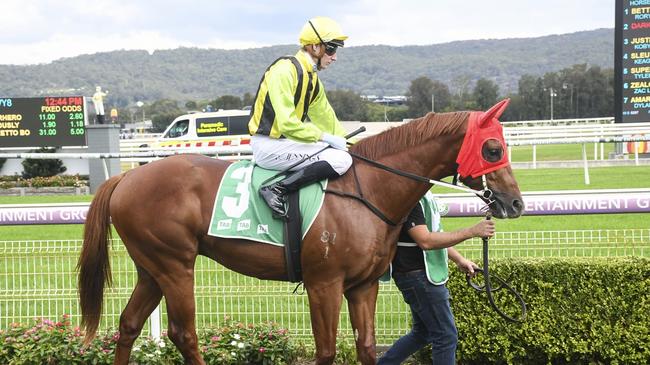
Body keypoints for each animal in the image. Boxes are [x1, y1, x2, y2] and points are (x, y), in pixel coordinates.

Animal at [77, 100, 520, 364]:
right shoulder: (324, 284)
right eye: (493, 149)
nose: (515, 204)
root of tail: (126, 178)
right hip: (175, 265)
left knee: (129, 324)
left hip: (151, 267)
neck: (367, 188)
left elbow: (366, 347)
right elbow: (326, 351)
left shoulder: (363, 285)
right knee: (183, 333)